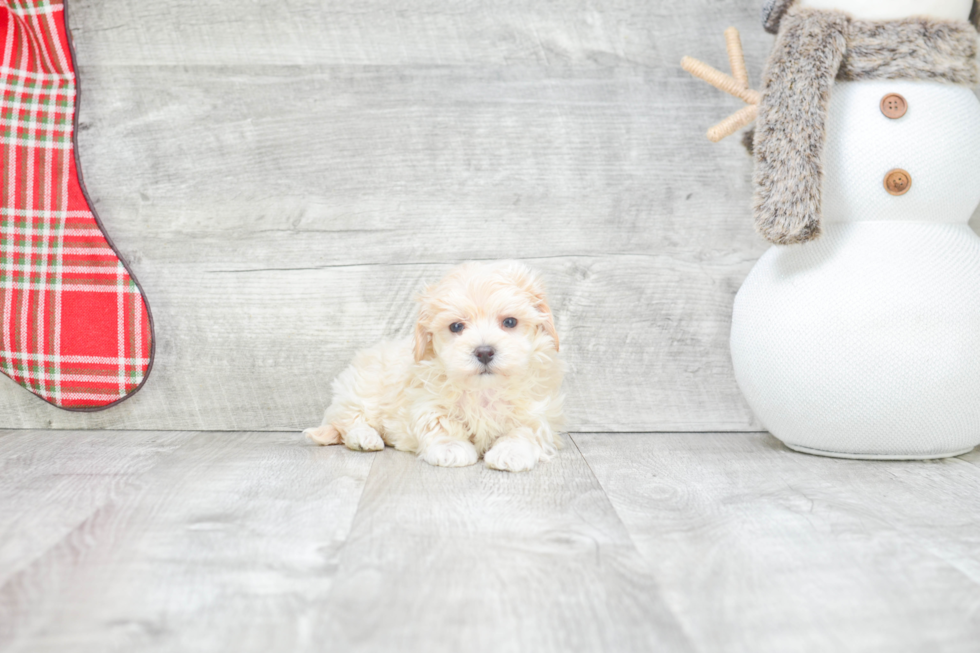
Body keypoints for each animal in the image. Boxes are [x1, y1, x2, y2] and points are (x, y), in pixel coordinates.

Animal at [306, 262, 568, 474]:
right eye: (456, 327)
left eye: (510, 322)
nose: (484, 351)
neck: (483, 389)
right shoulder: (427, 401)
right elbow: (441, 424)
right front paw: (451, 448)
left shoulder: (534, 410)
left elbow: (524, 431)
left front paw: (511, 452)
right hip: (361, 389)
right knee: (347, 419)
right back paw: (365, 437)